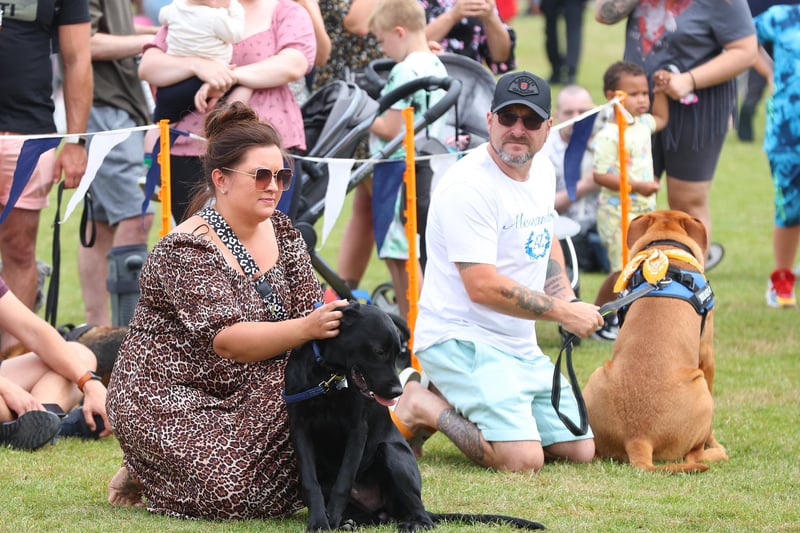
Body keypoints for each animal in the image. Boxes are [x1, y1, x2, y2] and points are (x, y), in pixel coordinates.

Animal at [580, 210, 732, 472]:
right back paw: (717, 453)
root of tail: (638, 439)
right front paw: (715, 442)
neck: (665, 248)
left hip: (598, 375)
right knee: (694, 456)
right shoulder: (706, 353)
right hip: (701, 389)